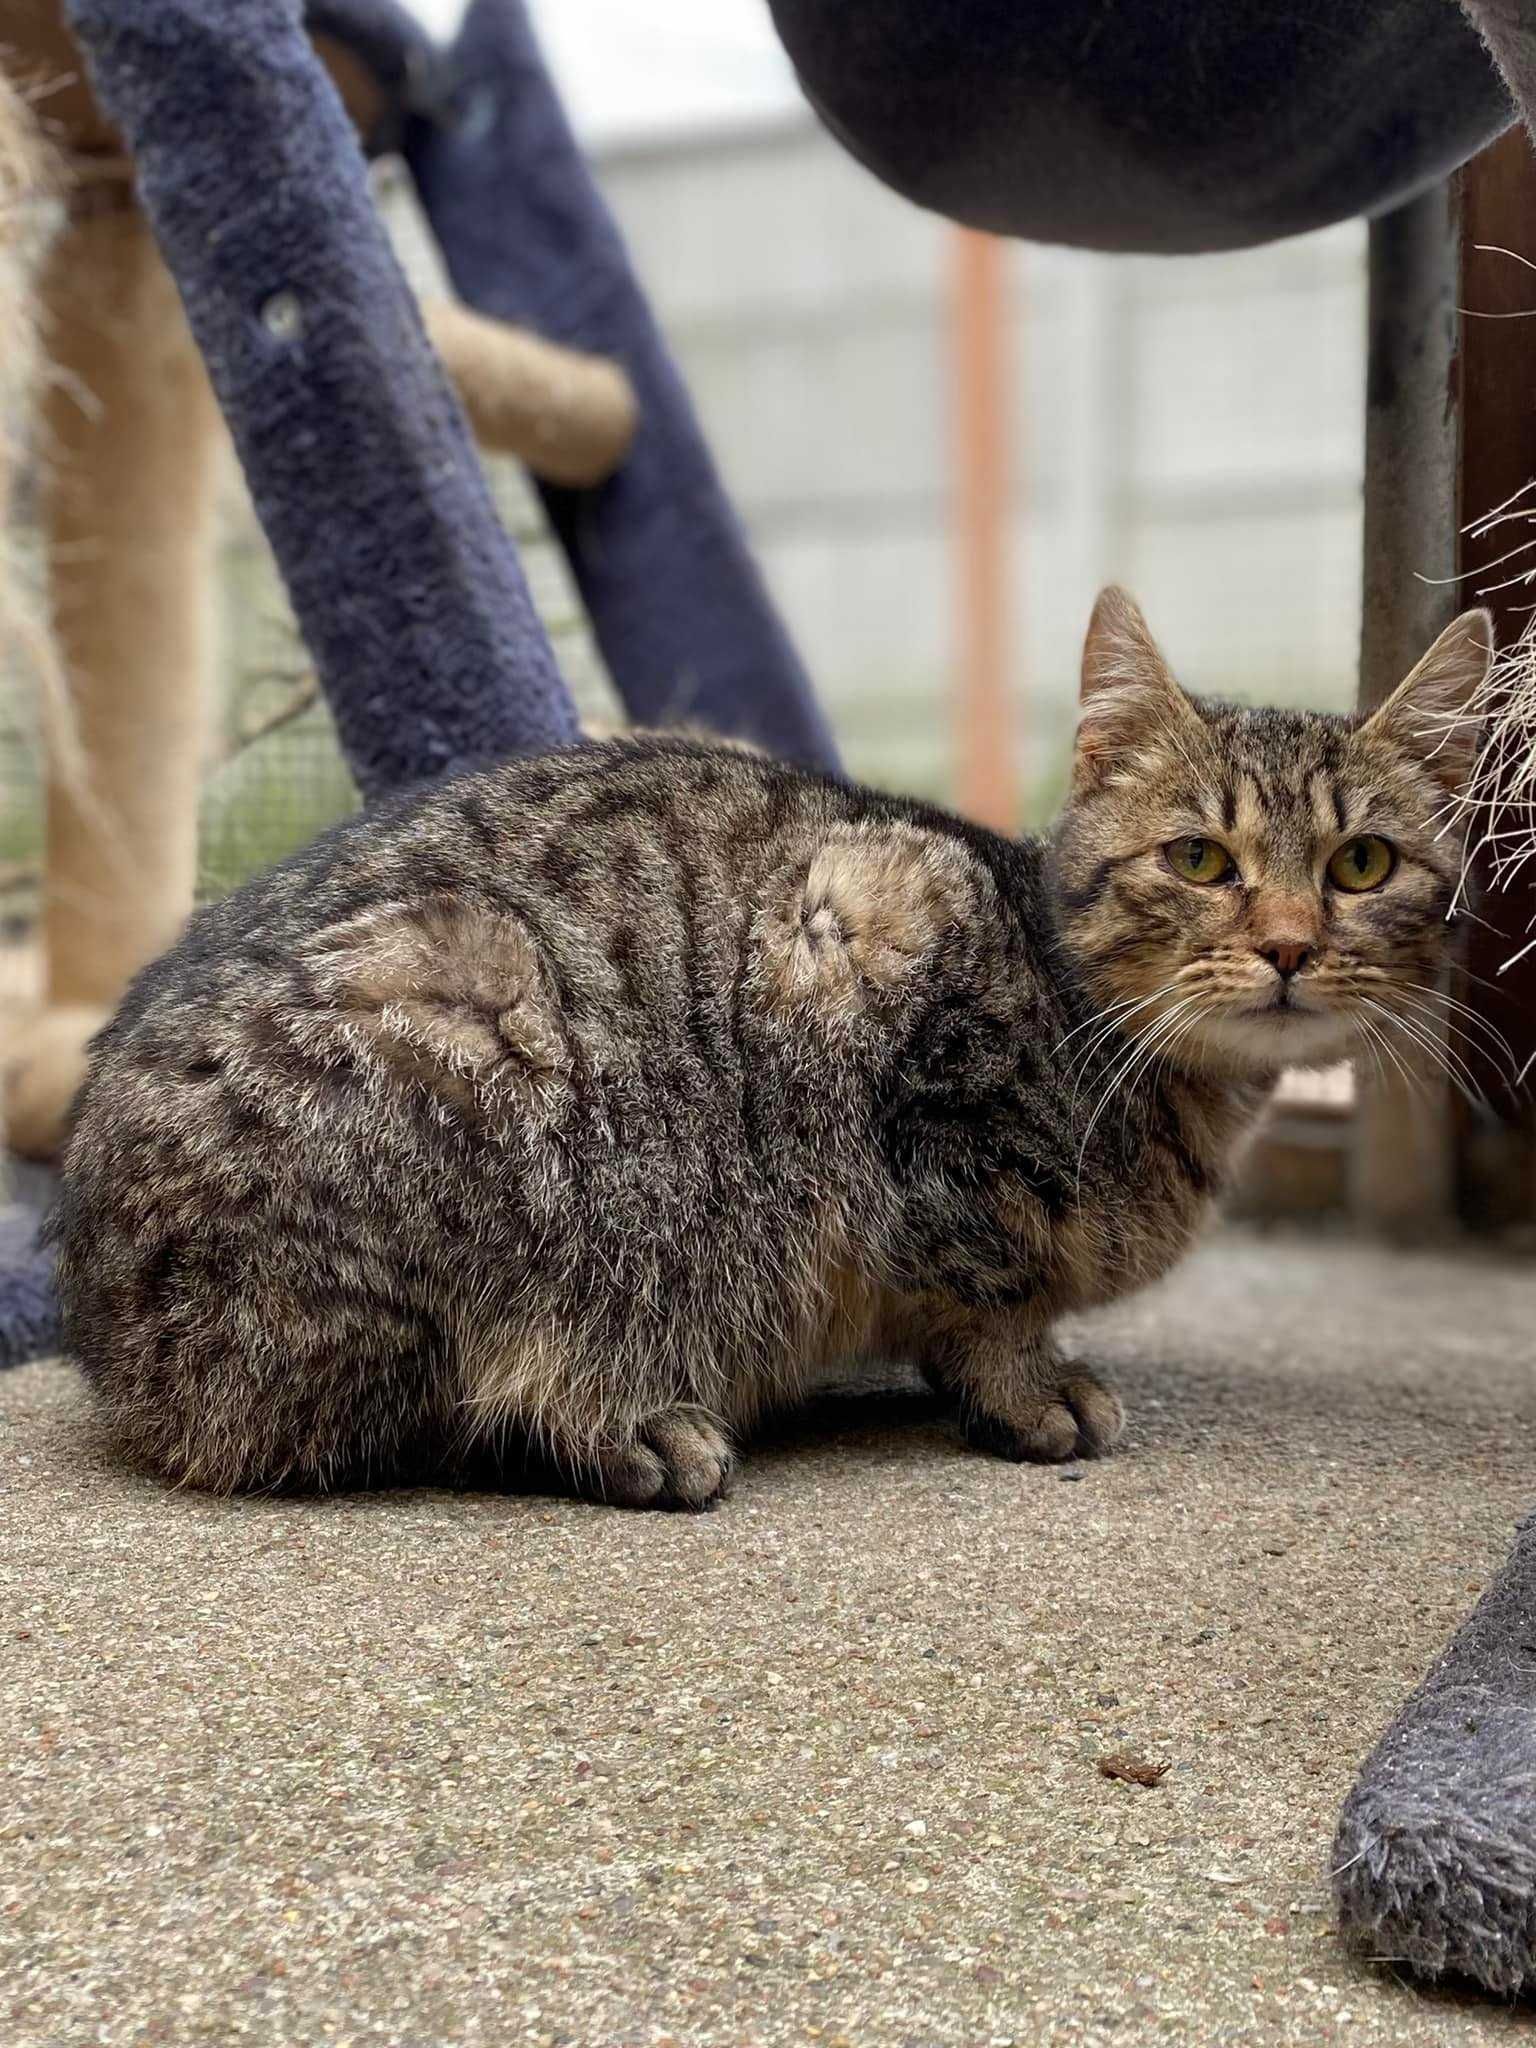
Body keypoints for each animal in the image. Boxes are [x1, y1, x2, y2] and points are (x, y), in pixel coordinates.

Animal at [54, 593, 1499, 1507]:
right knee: (443, 1410)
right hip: (480, 1041)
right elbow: (992, 1291)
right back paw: (634, 1425)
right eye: (1199, 859)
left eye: (1363, 864)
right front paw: (1028, 1392)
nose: (1292, 945)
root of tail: (101, 1321)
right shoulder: (872, 950)